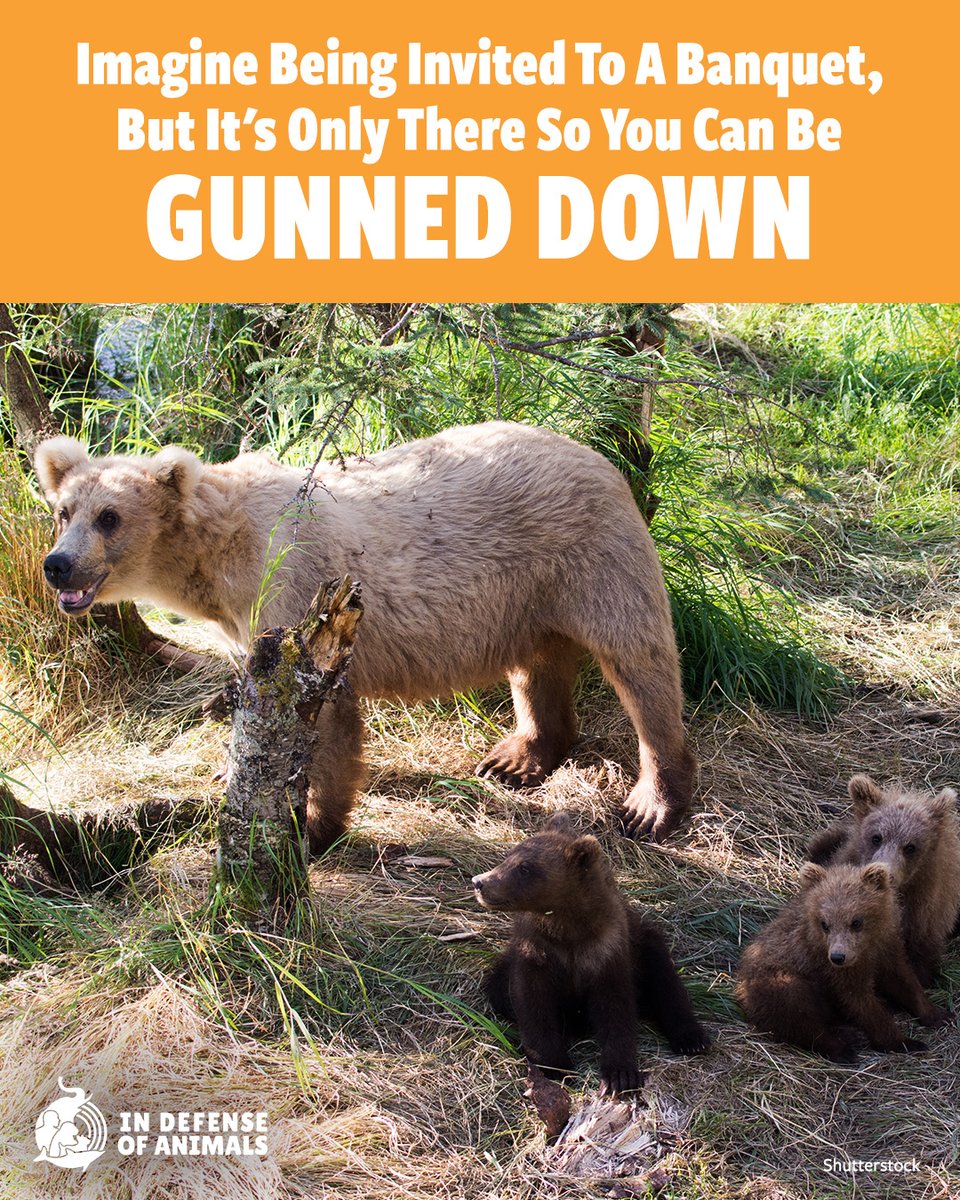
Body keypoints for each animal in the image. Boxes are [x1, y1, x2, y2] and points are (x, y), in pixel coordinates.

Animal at [34, 423, 695, 852]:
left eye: (110, 517)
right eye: (64, 509)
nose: (58, 566)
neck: (220, 562)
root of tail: (602, 458)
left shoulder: (298, 593)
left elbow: (324, 716)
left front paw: (310, 826)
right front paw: (232, 775)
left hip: (589, 555)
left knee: (640, 661)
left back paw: (652, 802)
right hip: (528, 593)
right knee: (537, 663)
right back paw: (516, 758)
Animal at [472, 815, 710, 1098]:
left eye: (525, 868)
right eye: (510, 856)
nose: (480, 882)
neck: (569, 929)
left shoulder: (607, 950)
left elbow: (615, 1008)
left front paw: (619, 1075)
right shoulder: (534, 951)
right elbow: (532, 1005)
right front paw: (555, 1066)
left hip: (646, 945)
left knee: (667, 982)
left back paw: (692, 1039)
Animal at [735, 861, 950, 1063]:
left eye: (856, 922)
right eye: (825, 924)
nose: (838, 956)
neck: (866, 950)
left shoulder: (886, 948)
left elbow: (904, 981)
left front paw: (938, 1015)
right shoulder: (834, 969)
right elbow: (860, 1002)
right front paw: (905, 1042)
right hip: (779, 980)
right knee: (798, 1013)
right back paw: (842, 1048)